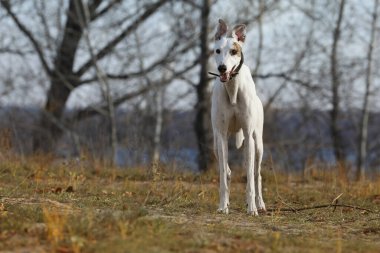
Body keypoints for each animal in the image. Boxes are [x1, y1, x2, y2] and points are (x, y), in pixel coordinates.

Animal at [209, 19, 266, 215]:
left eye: (233, 51)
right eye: (217, 51)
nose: (222, 68)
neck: (232, 88)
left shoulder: (248, 135)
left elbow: (249, 177)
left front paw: (252, 208)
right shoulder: (221, 135)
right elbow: (223, 175)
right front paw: (222, 206)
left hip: (258, 144)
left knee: (257, 174)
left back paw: (259, 203)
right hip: (216, 145)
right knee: (226, 170)